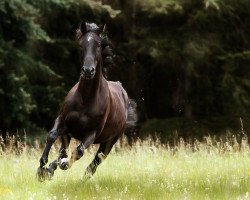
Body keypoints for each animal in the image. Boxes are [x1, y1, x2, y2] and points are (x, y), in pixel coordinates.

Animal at [36, 20, 137, 181]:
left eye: (98, 44)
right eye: (81, 44)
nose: (88, 71)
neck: (85, 99)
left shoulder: (92, 133)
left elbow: (78, 152)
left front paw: (55, 167)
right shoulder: (63, 121)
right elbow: (52, 136)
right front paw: (42, 168)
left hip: (109, 142)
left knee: (95, 161)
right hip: (69, 133)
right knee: (63, 151)